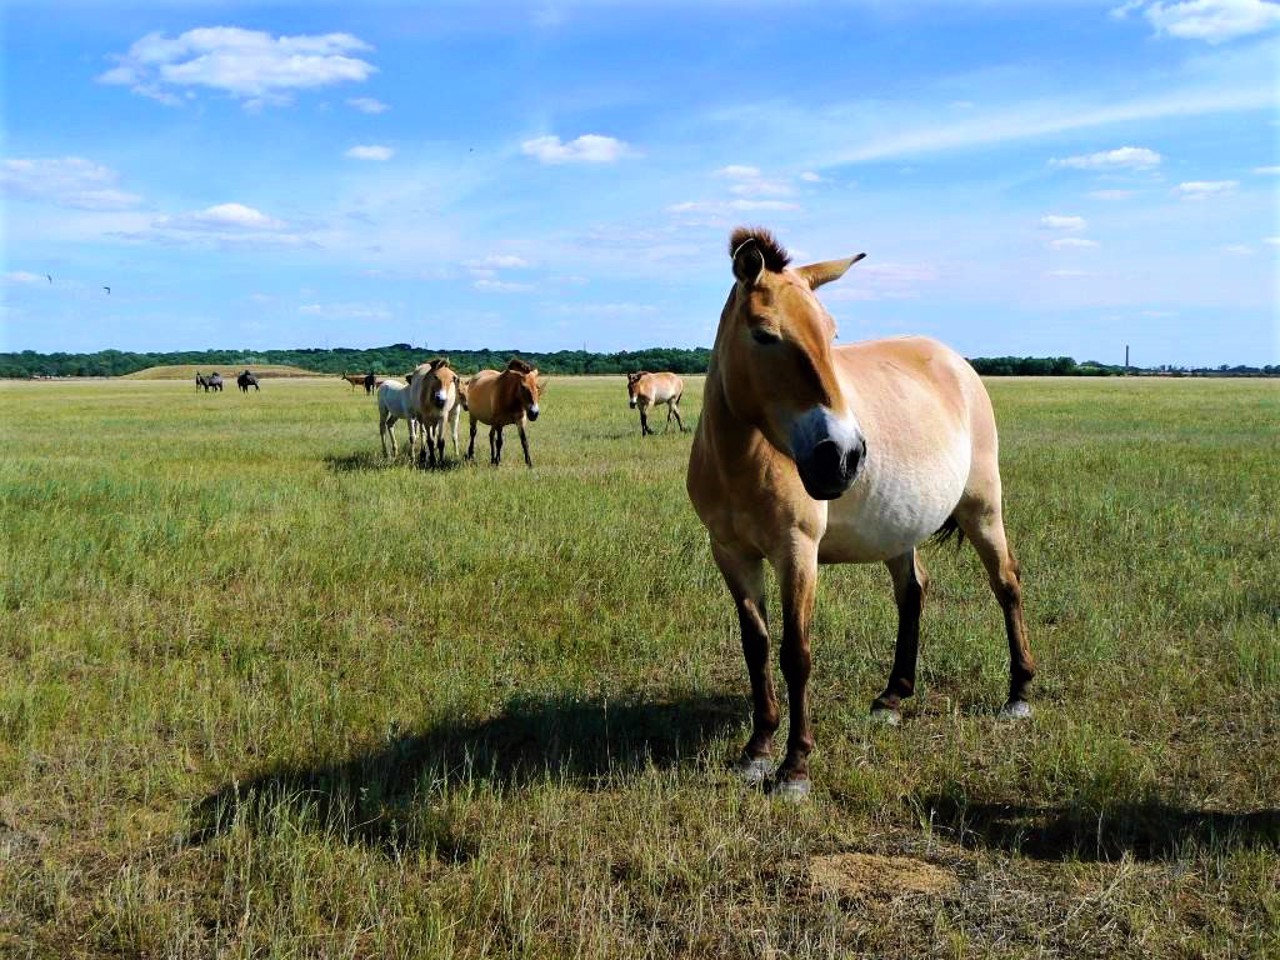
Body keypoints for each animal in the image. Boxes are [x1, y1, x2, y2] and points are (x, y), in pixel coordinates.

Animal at [686, 229, 1034, 798]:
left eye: (832, 333)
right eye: (764, 335)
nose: (844, 456)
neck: (742, 458)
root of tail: (954, 361)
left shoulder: (796, 551)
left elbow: (795, 653)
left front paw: (794, 768)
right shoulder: (731, 554)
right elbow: (756, 647)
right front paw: (757, 750)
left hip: (983, 506)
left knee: (1006, 583)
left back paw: (1020, 693)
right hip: (900, 528)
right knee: (913, 591)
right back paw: (893, 696)